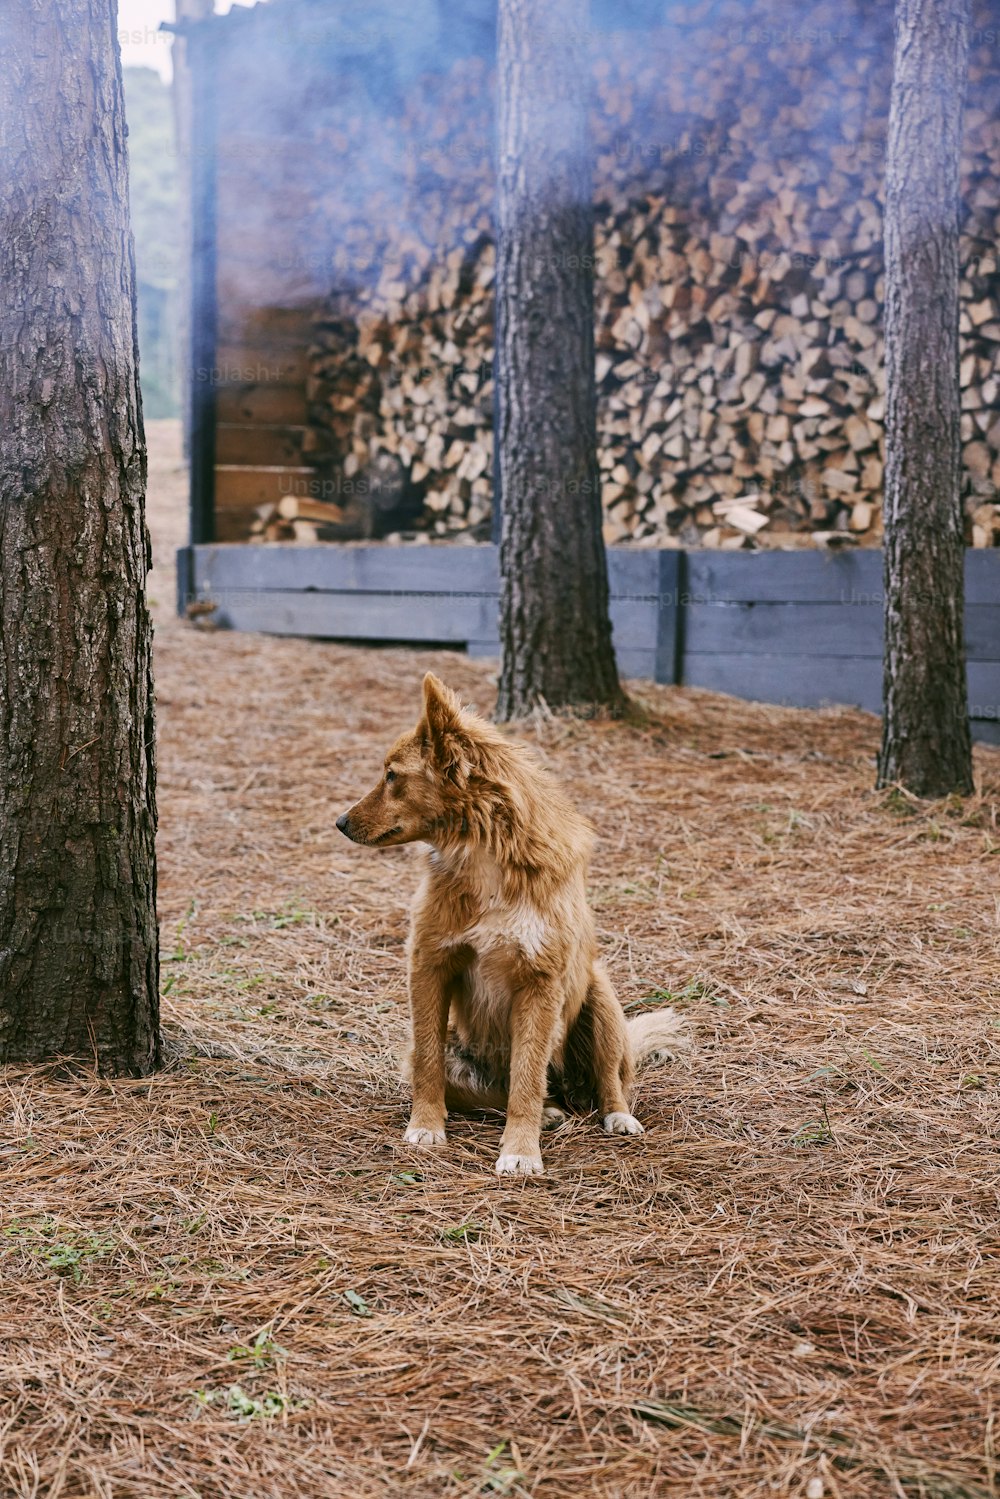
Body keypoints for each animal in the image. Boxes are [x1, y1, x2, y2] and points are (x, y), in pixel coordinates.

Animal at [335, 674, 689, 1175]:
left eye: (391, 776)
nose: (340, 822)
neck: (484, 857)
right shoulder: (429, 965)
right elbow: (429, 1061)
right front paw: (426, 1126)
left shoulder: (539, 982)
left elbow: (527, 1076)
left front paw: (520, 1151)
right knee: (492, 1092)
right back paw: (548, 1113)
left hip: (600, 998)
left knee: (606, 1081)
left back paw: (615, 1115)